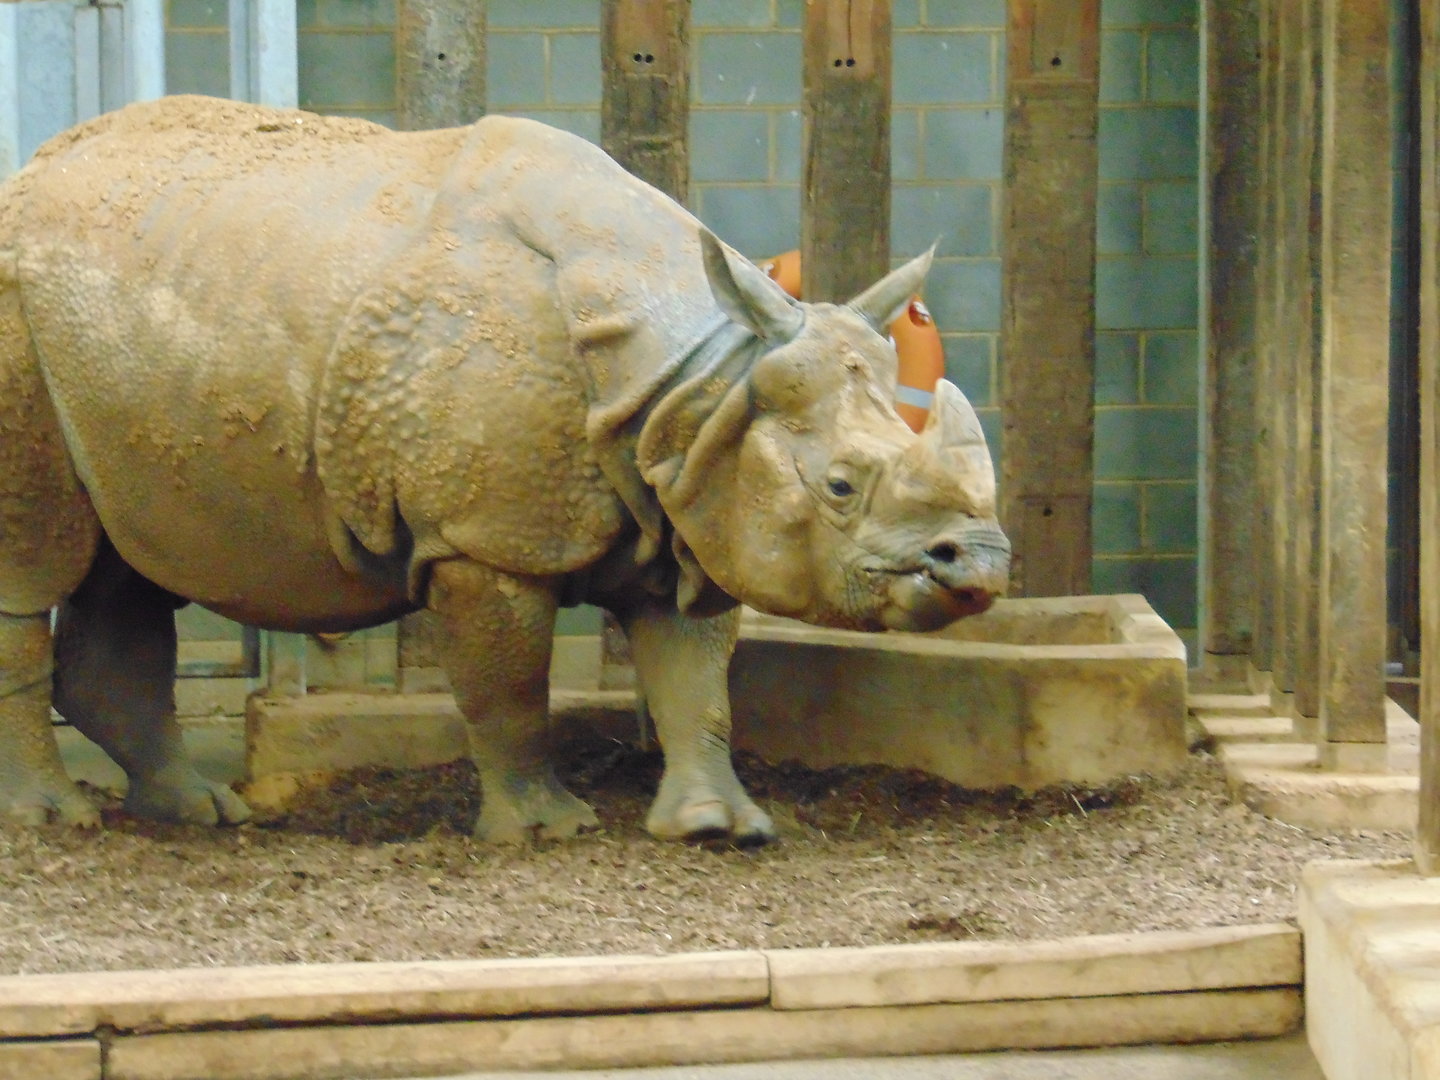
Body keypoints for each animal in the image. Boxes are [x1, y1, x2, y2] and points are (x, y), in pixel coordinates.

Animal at [0, 96, 1010, 845]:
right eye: (839, 486)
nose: (983, 565)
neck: (700, 376)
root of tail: (25, 175)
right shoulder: (482, 540)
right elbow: (511, 684)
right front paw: (543, 831)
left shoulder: (694, 490)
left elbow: (697, 679)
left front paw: (718, 829)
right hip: (17, 312)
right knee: (40, 559)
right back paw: (55, 822)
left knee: (130, 560)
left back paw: (200, 814)